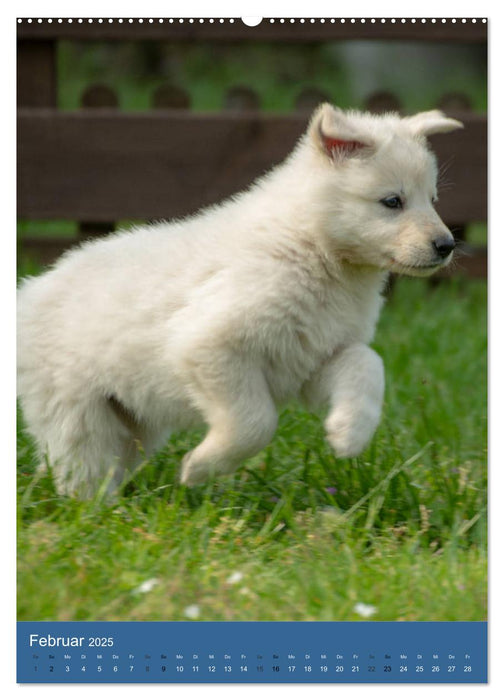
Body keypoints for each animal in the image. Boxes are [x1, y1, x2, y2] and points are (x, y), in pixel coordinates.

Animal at [15, 104, 462, 498]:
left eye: (432, 199)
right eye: (392, 201)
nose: (447, 246)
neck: (311, 248)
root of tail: (30, 291)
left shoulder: (316, 355)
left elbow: (368, 364)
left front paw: (349, 433)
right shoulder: (212, 347)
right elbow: (255, 423)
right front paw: (199, 469)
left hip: (133, 419)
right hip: (75, 409)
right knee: (82, 466)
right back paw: (99, 514)